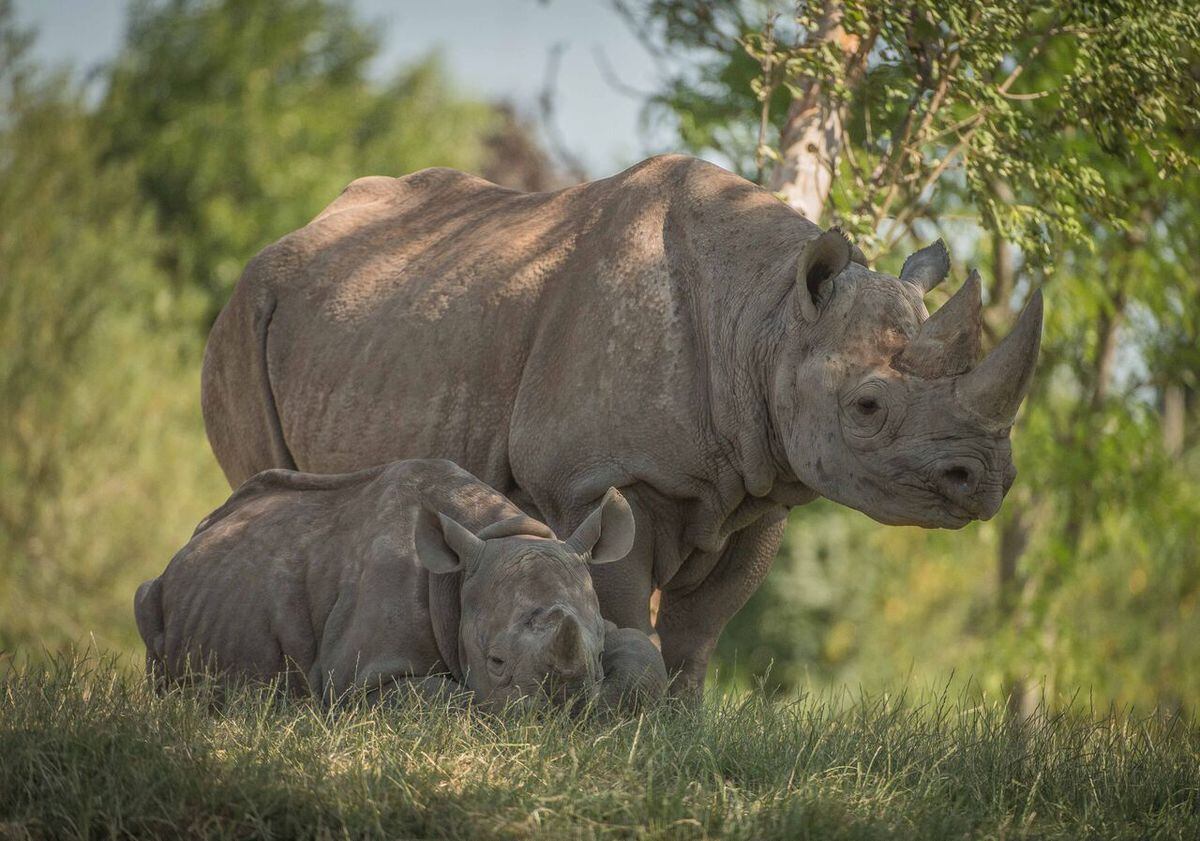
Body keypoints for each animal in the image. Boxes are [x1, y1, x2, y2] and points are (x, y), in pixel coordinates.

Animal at [136, 458, 672, 710]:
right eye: (496, 661)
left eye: (596, 653)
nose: (568, 713)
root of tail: (199, 531)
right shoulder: (360, 676)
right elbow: (444, 700)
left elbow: (642, 655)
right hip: (162, 590)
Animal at [201, 154, 1036, 691]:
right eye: (867, 407)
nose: (986, 477)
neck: (763, 316)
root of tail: (294, 236)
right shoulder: (599, 475)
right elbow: (624, 608)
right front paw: (623, 724)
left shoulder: (762, 481)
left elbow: (700, 632)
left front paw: (684, 726)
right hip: (242, 318)